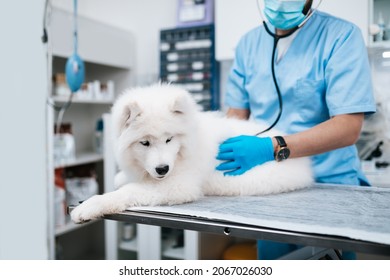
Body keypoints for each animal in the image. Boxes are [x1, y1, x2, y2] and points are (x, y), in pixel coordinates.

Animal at [71, 83, 314, 223]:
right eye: (145, 143)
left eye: (169, 139)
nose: (163, 169)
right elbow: (125, 180)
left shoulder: (178, 186)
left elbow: (128, 191)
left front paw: (90, 206)